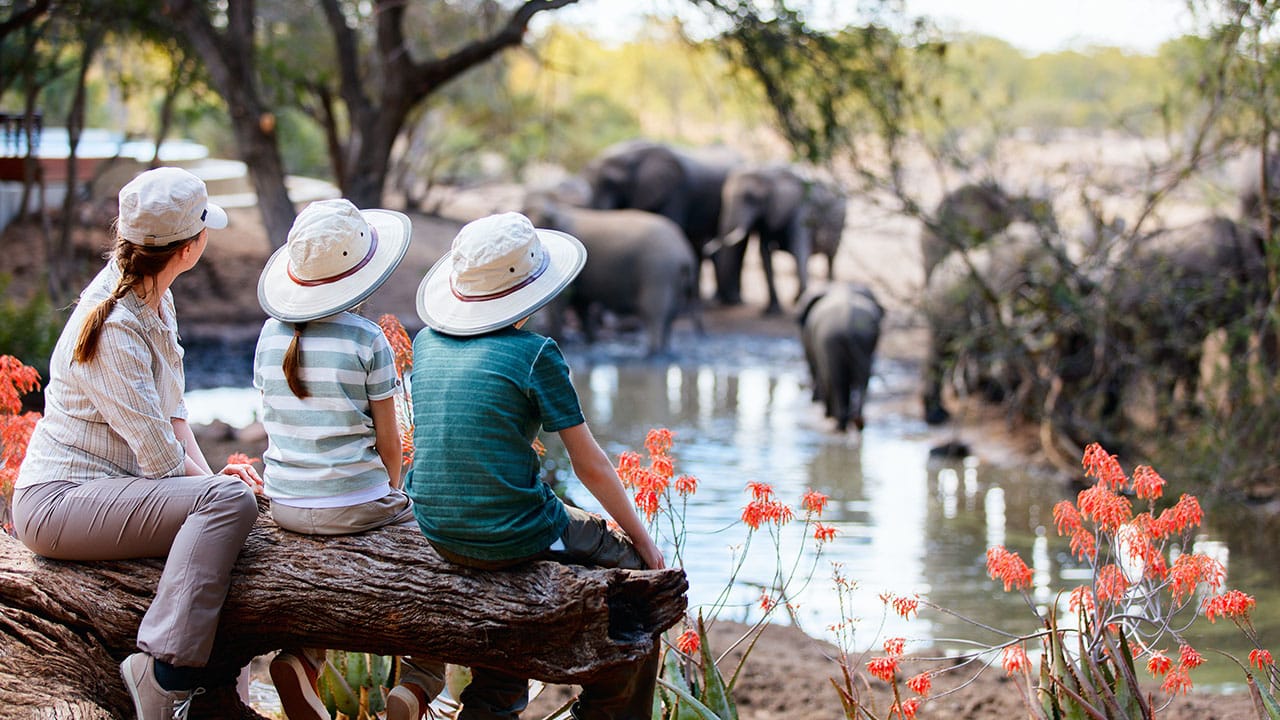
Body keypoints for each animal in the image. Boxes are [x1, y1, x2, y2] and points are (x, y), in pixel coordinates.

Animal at [519, 193, 701, 356]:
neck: (557, 208)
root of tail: (684, 253)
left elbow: (563, 303)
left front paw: (563, 341)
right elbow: (581, 303)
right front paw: (591, 342)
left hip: (658, 270)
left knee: (653, 312)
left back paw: (652, 353)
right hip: (671, 275)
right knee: (671, 313)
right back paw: (664, 351)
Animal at [721, 167, 849, 316]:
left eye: (751, 198)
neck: (769, 175)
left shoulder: (801, 210)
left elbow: (799, 250)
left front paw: (800, 303)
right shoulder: (768, 218)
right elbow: (765, 254)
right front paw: (772, 311)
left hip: (840, 223)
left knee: (830, 257)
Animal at [793, 283, 885, 430]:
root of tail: (849, 325)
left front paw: (824, 410)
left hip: (831, 340)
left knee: (837, 379)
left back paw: (839, 422)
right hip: (863, 341)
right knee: (862, 380)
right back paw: (857, 422)